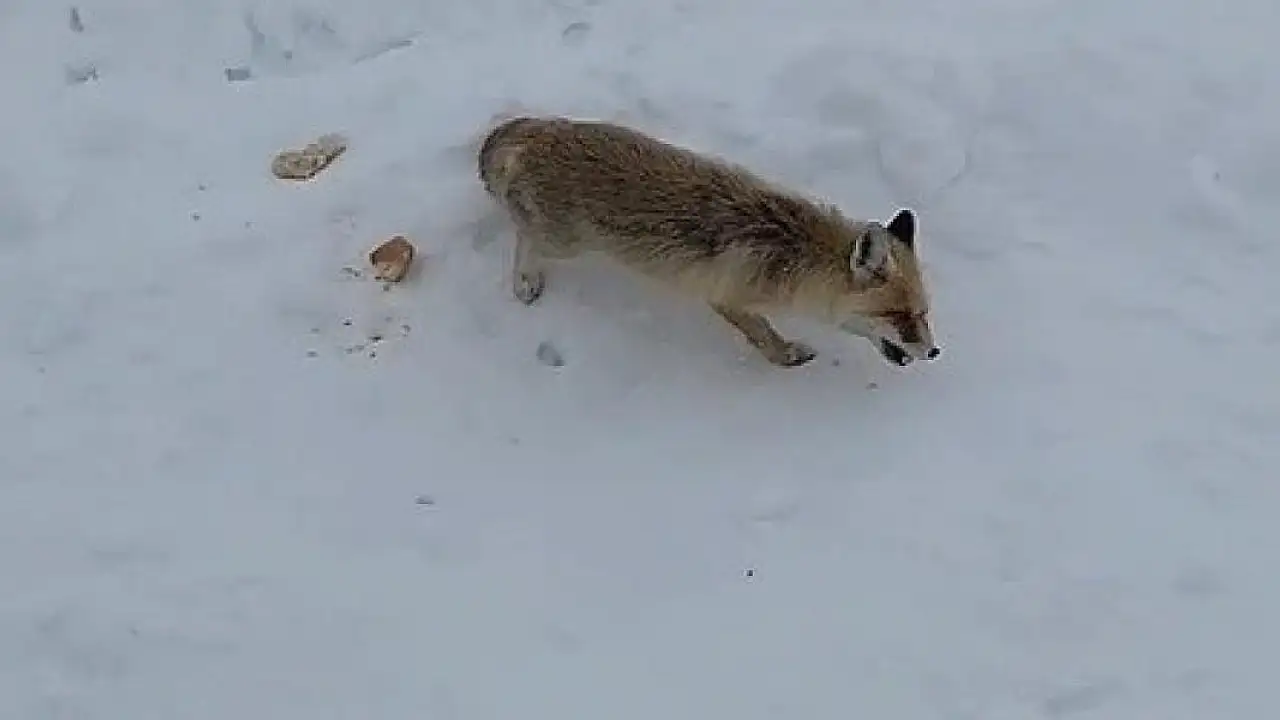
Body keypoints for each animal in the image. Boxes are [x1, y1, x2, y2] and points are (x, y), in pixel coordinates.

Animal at [476, 114, 941, 368]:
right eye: (899, 316)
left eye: (923, 313)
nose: (934, 352)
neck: (793, 257)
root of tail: (539, 130)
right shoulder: (728, 298)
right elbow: (763, 336)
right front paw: (787, 356)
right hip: (564, 243)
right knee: (524, 237)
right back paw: (525, 281)